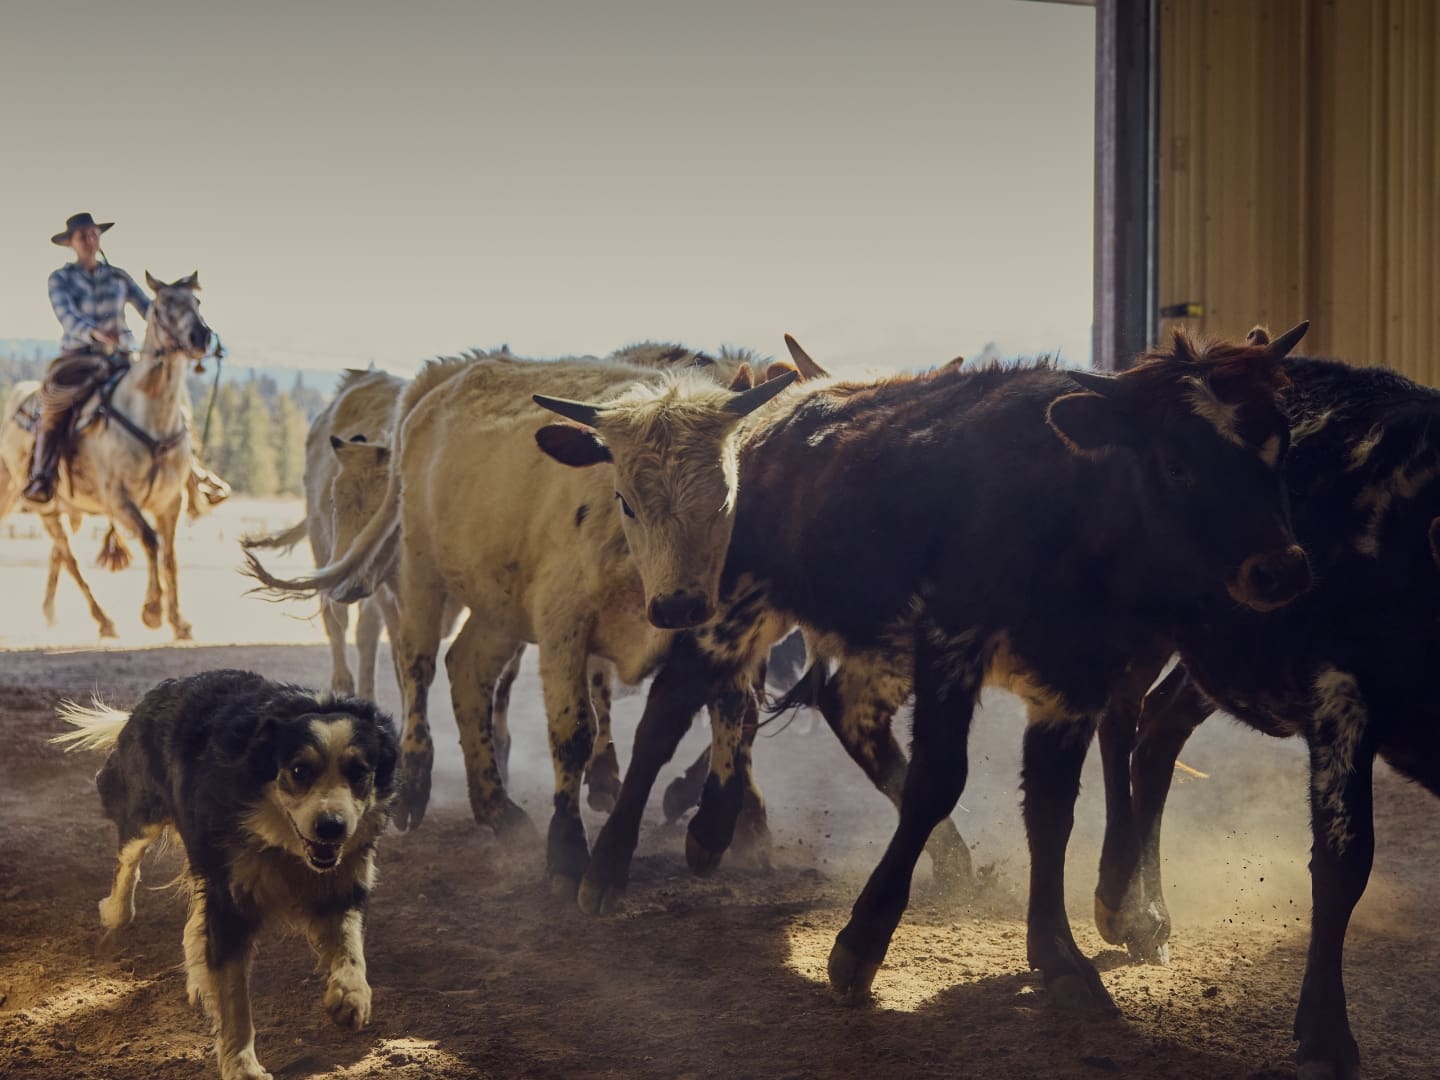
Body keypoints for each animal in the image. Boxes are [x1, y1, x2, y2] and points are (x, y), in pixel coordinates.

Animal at [245, 347, 799, 893]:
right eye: (626, 500)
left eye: (726, 497)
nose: (678, 607)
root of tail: (441, 379)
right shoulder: (562, 626)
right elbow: (573, 731)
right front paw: (568, 849)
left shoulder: (727, 630)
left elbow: (733, 709)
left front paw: (720, 826)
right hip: (419, 573)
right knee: (416, 667)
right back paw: (416, 785)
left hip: (498, 606)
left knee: (468, 670)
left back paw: (499, 808)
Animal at [541, 325, 1311, 1021]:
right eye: (1178, 464)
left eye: (1281, 450)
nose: (1281, 570)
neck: (1069, 504)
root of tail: (784, 404)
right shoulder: (952, 643)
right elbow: (940, 781)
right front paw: (861, 943)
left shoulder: (1073, 680)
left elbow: (1051, 809)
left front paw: (1058, 956)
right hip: (727, 601)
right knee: (672, 709)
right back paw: (612, 866)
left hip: (868, 639)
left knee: (843, 710)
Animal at [1090, 329, 1440, 1080]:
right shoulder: (1343, 691)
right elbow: (1343, 861)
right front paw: (1326, 1033)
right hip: (1141, 622)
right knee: (1118, 718)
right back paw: (1121, 905)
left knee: (1156, 734)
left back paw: (1150, 914)